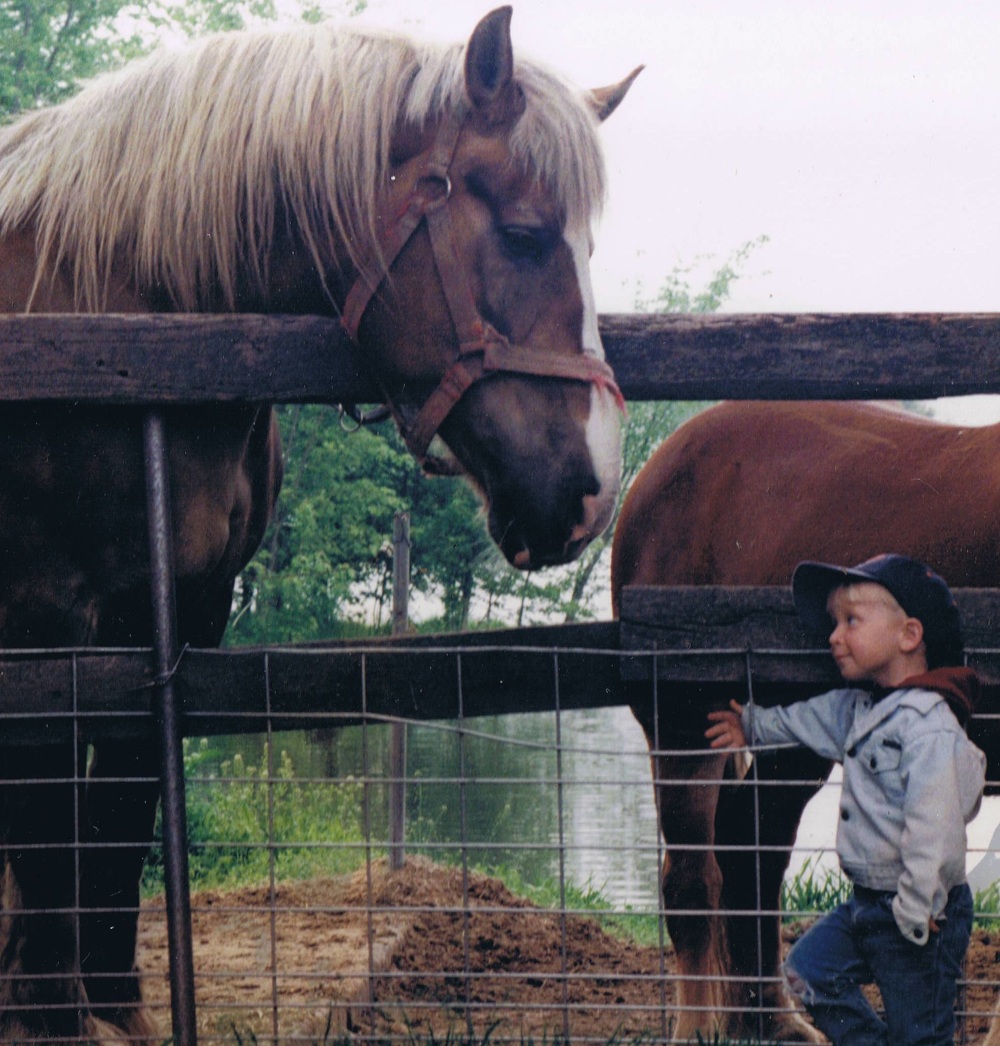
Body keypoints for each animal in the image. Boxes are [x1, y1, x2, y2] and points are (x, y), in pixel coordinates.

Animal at [0, 8, 639, 1040]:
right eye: (525, 233)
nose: (590, 490)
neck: (107, 329)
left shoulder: (175, 612)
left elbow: (117, 818)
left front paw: (112, 1008)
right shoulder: (42, 621)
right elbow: (51, 840)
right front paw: (49, 1015)